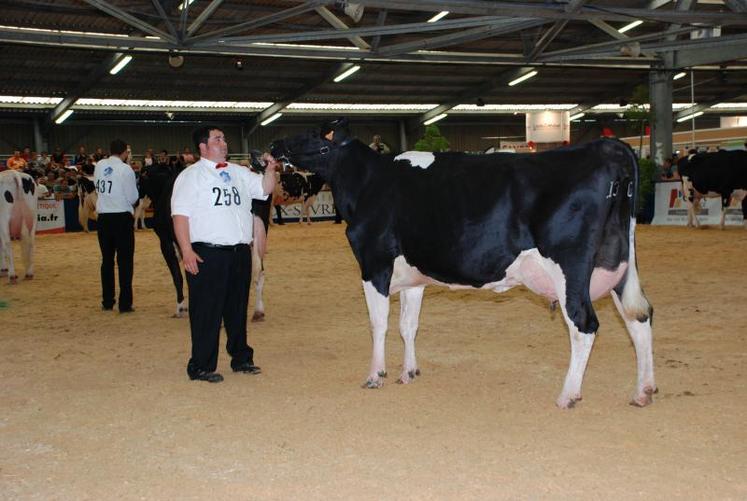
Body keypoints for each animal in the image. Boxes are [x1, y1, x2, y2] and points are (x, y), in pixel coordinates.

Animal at [274, 119, 656, 408]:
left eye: (310, 133)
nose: (275, 145)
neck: (368, 182)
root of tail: (604, 148)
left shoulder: (374, 264)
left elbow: (378, 325)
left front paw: (375, 375)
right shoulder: (413, 276)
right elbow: (408, 326)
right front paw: (408, 372)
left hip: (570, 269)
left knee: (584, 324)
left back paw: (568, 395)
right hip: (618, 264)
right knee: (639, 317)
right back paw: (643, 391)